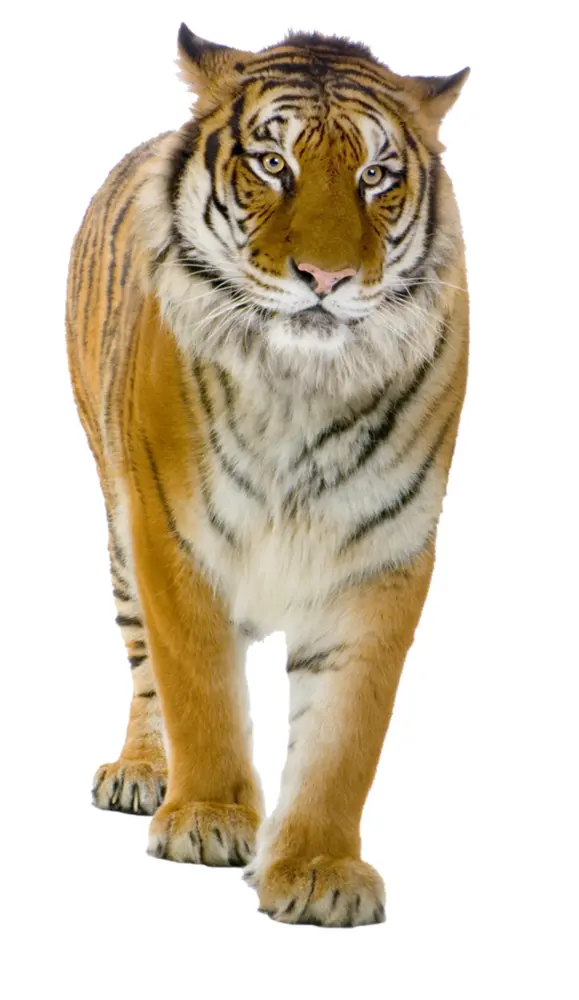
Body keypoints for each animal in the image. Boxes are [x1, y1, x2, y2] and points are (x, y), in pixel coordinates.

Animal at [66, 23, 469, 927]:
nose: (325, 279)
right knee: (143, 666)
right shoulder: (172, 533)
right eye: (273, 164)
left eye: (375, 176)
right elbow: (199, 690)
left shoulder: (382, 555)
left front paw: (319, 868)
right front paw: (208, 818)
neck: (300, 385)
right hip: (115, 518)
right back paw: (143, 772)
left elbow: (344, 735)